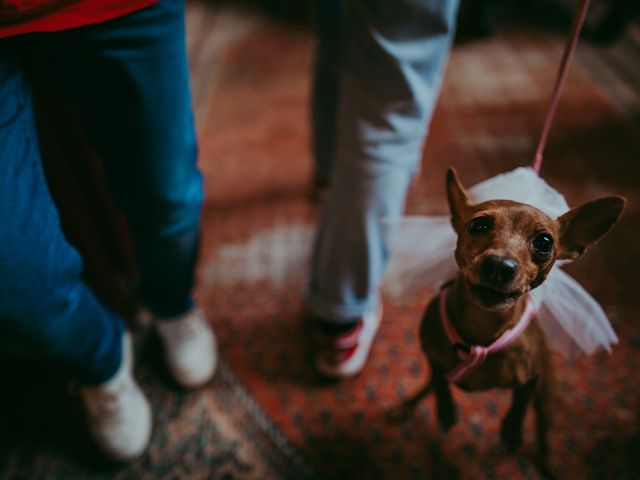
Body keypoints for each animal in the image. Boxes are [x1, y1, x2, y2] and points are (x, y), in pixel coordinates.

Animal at [400, 167, 624, 474]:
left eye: (544, 243)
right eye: (479, 225)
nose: (499, 266)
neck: (483, 324)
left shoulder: (533, 379)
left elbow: (519, 406)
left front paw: (511, 433)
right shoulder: (430, 352)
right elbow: (437, 378)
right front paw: (445, 410)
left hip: (546, 400)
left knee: (543, 430)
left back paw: (548, 462)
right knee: (430, 385)